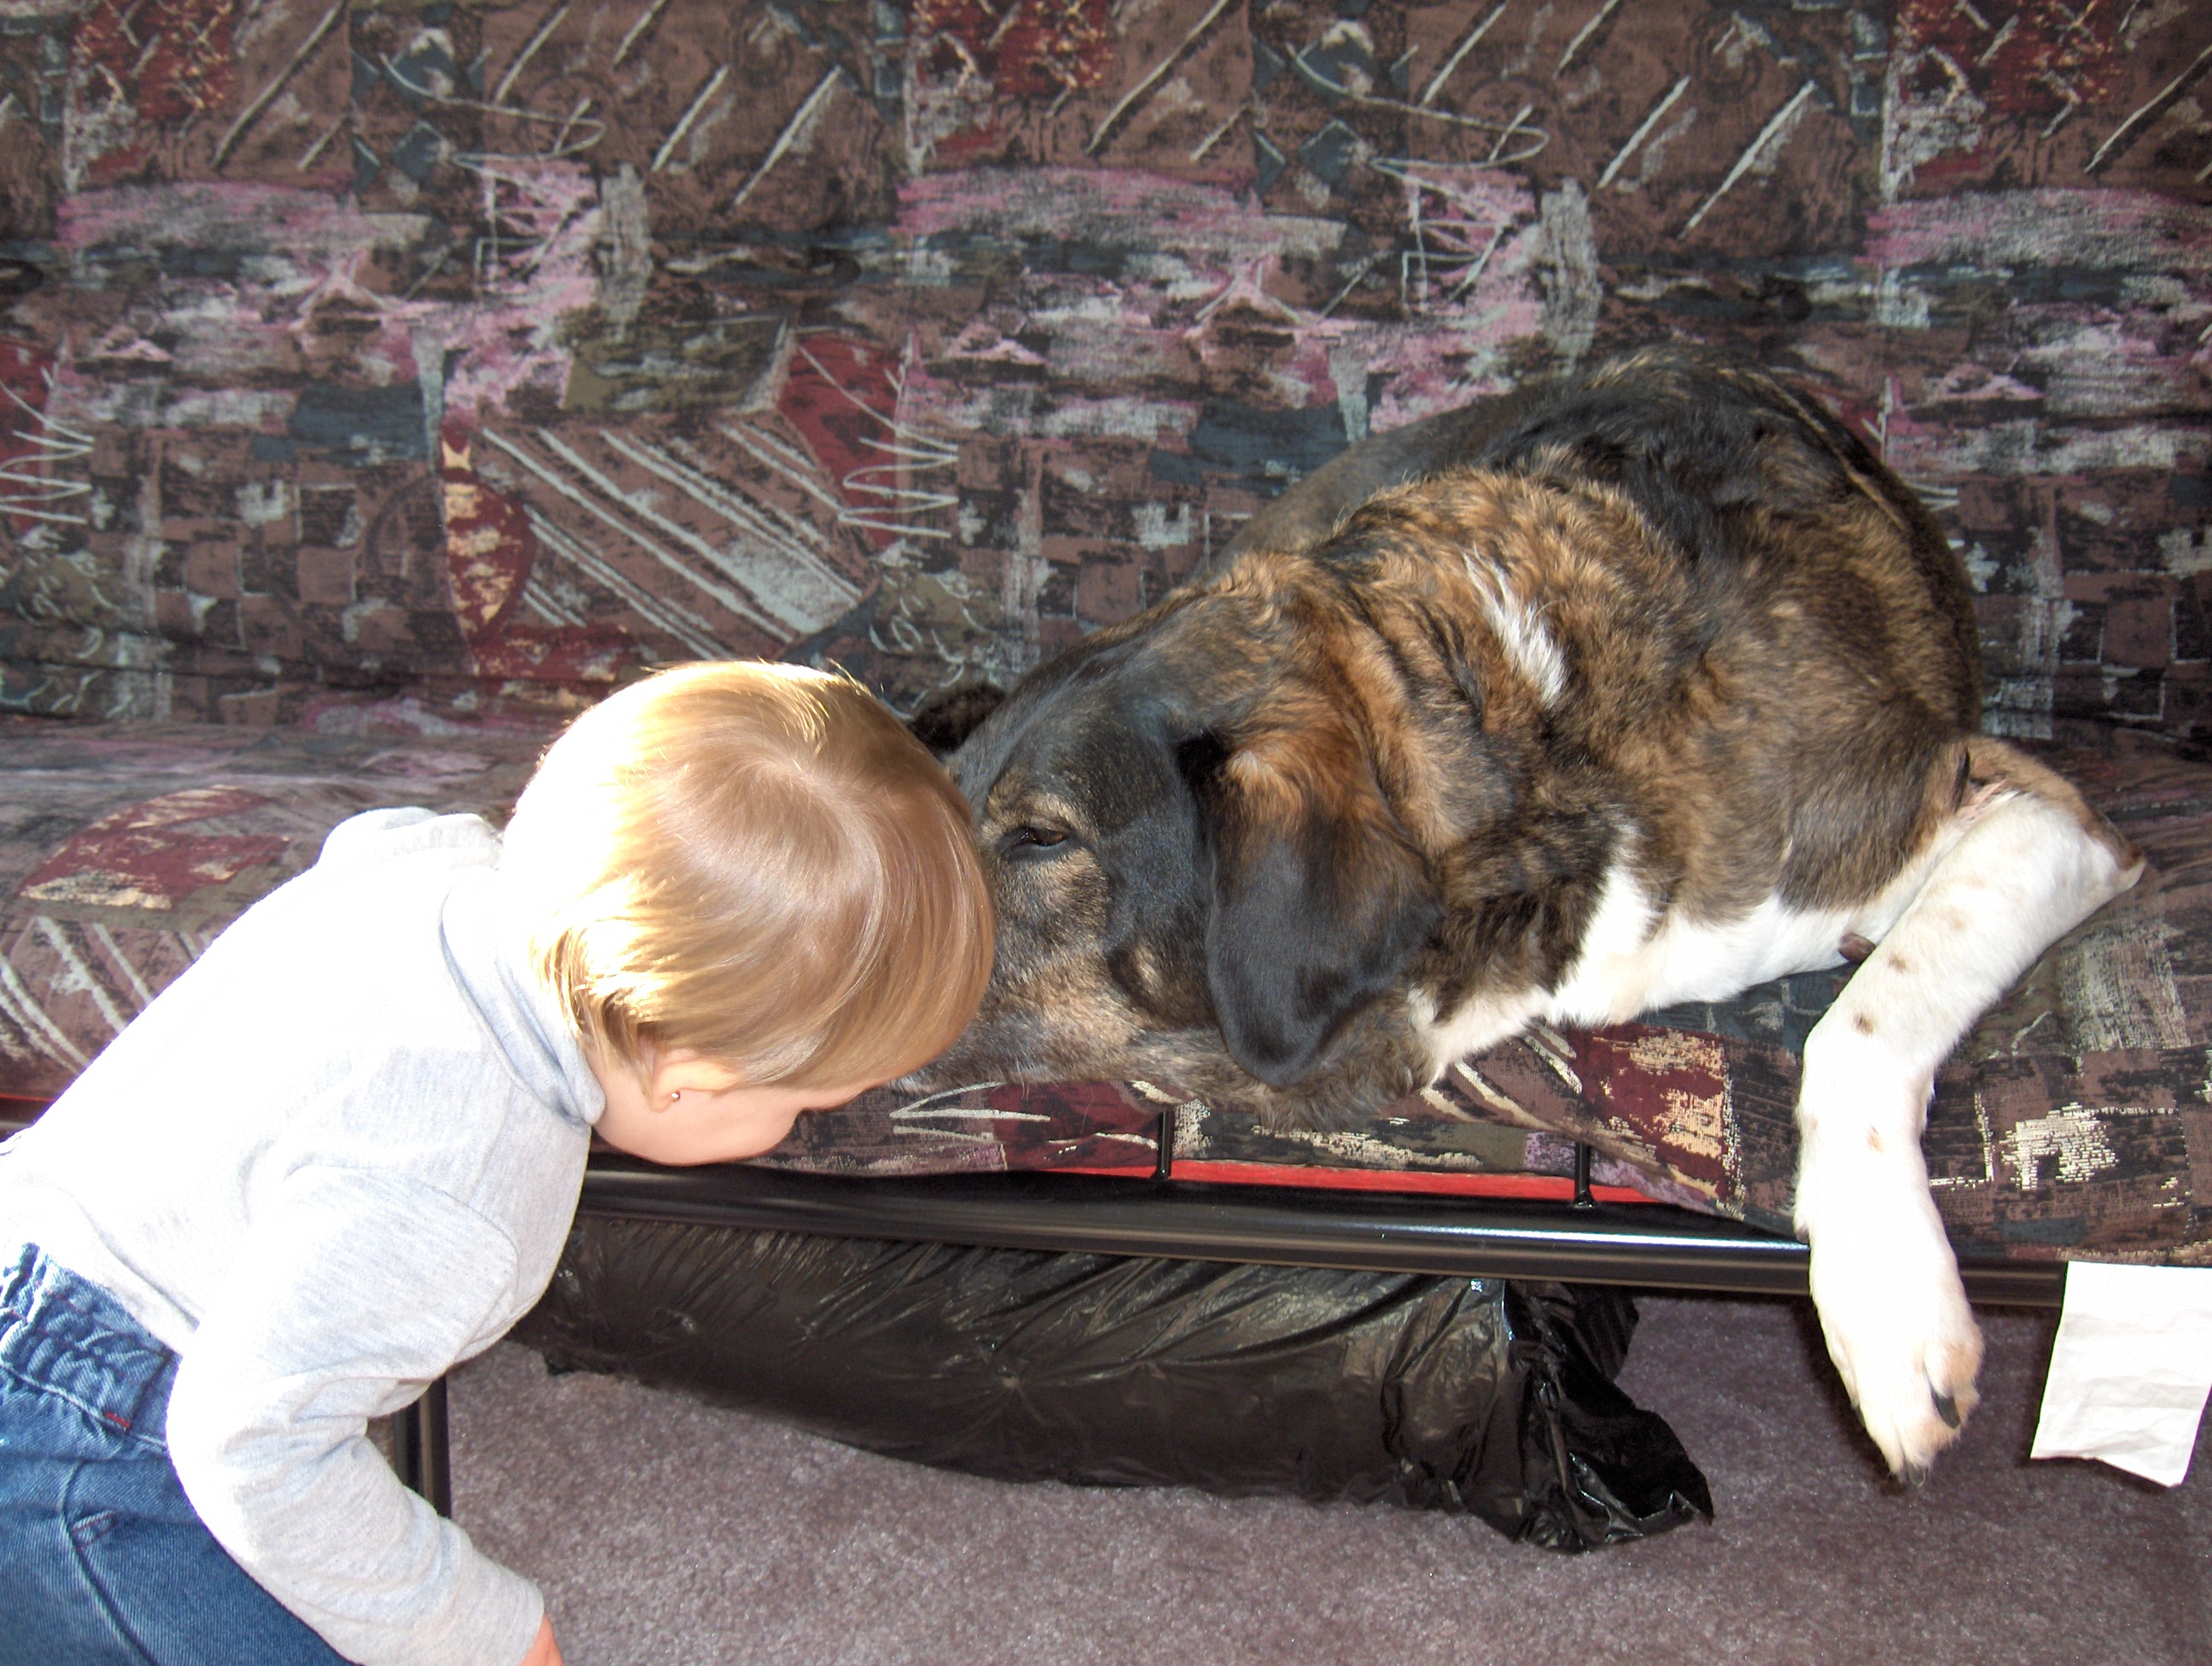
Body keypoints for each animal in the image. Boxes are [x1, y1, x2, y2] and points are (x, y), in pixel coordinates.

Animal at [912, 345, 2143, 1479]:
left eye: (1043, 837)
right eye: (956, 805)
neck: (1520, 737)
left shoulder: (2024, 813)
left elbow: (1857, 1028)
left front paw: (1888, 1306)